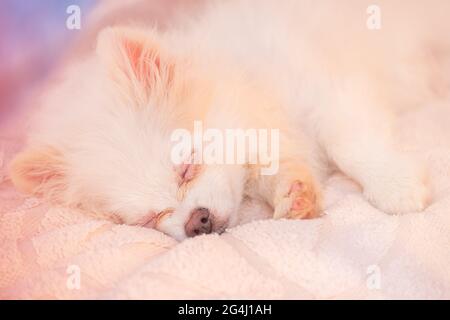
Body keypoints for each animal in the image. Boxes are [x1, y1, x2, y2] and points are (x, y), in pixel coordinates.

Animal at [7, 0, 450, 240]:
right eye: (151, 218)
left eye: (187, 168)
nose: (196, 221)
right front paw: (295, 195)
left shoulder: (325, 86)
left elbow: (349, 141)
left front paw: (394, 185)